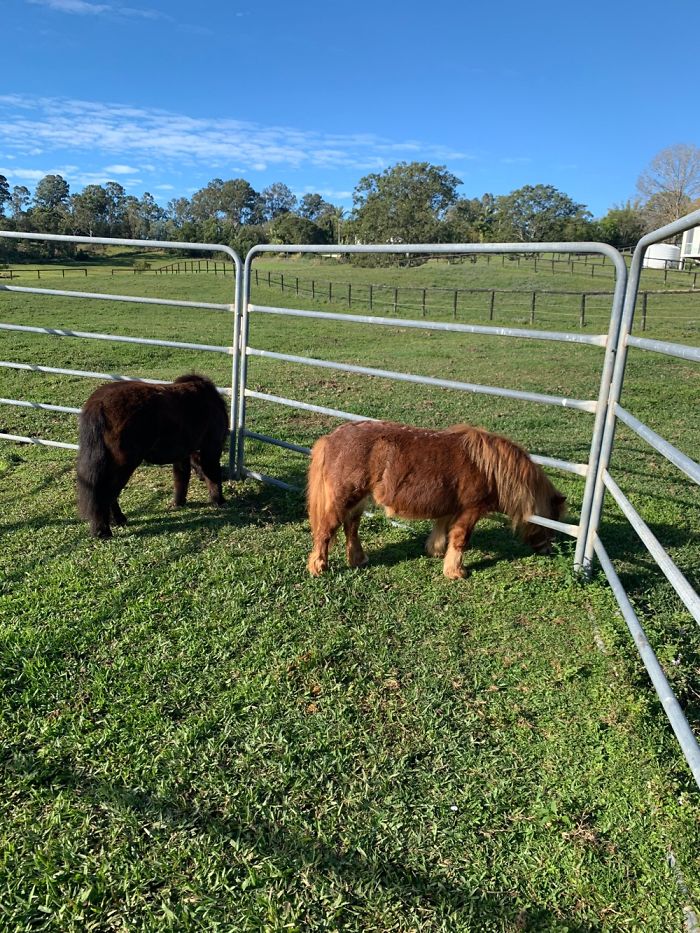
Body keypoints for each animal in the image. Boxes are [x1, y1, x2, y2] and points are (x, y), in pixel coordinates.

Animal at [76, 373, 229, 538]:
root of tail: (99, 403)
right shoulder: (211, 448)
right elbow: (212, 474)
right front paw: (219, 500)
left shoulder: (182, 454)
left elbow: (181, 477)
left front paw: (178, 503)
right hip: (123, 465)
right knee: (105, 494)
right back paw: (102, 530)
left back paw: (117, 520)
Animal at [306, 420, 567, 579]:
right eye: (551, 524)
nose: (548, 550)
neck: (490, 470)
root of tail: (330, 438)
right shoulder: (470, 511)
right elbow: (461, 538)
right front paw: (456, 571)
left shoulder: (450, 508)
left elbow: (442, 530)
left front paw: (437, 552)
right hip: (344, 499)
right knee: (326, 530)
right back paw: (318, 567)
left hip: (358, 501)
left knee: (351, 528)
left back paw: (358, 559)